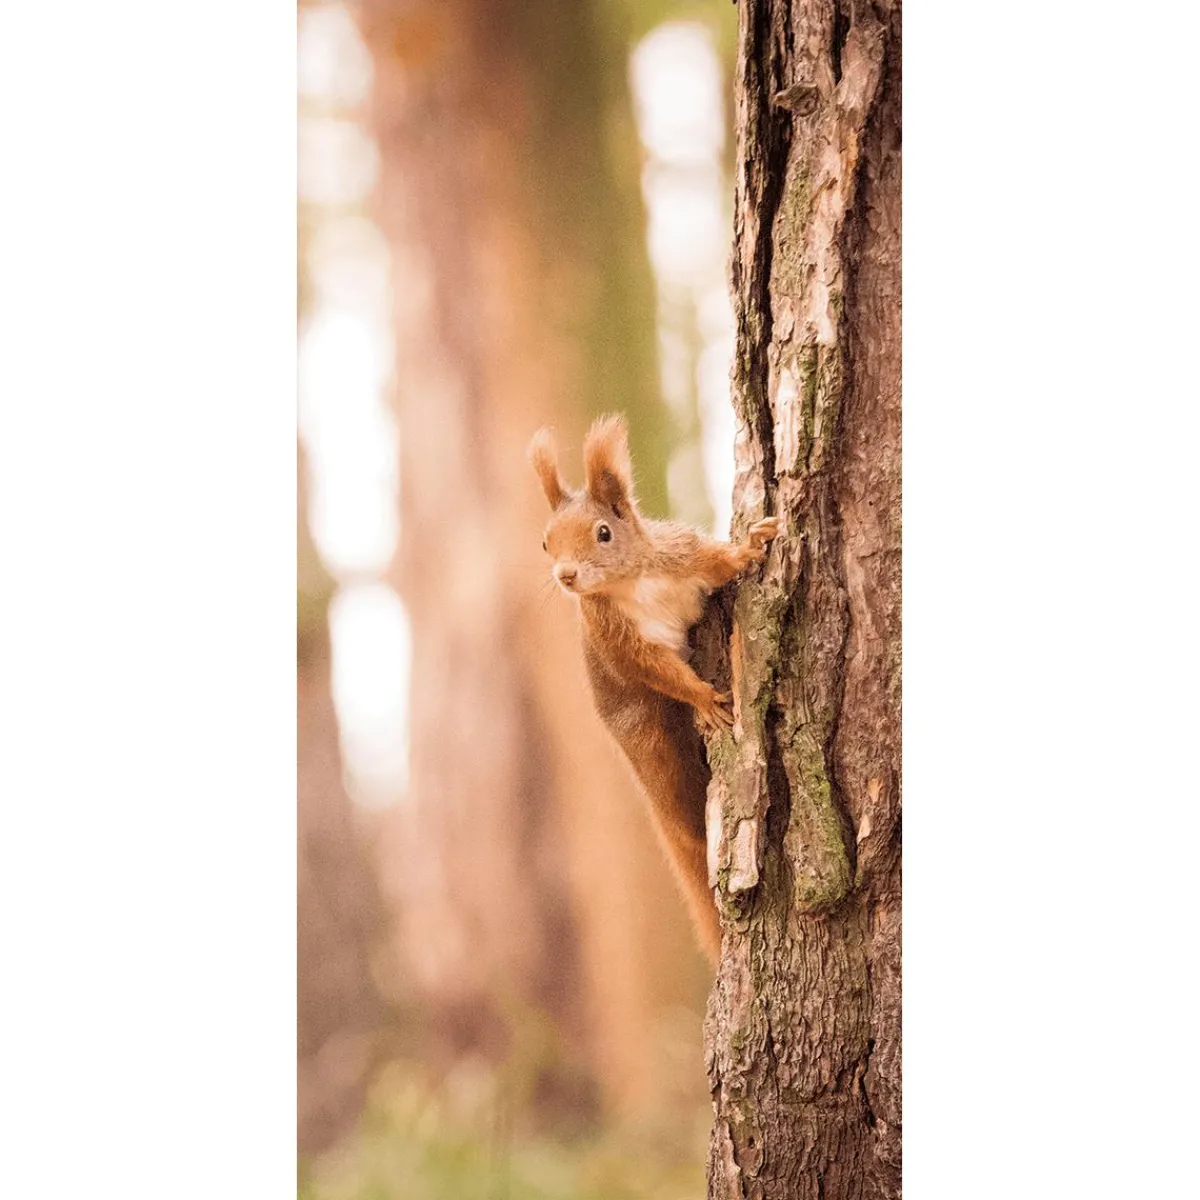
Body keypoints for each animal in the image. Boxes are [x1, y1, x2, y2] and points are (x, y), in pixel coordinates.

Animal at [527, 413, 780, 963]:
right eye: (545, 542)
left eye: (603, 533)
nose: (565, 576)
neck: (632, 582)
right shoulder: (618, 641)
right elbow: (660, 671)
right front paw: (705, 699)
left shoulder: (685, 556)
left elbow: (723, 562)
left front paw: (755, 544)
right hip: (654, 744)